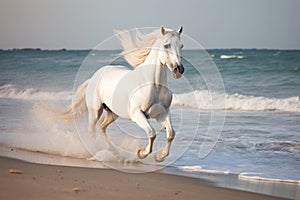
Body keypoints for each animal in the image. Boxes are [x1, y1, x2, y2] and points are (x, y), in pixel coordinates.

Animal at [61, 25, 184, 162]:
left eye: (181, 46)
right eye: (166, 45)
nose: (179, 69)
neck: (154, 85)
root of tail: (93, 77)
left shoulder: (162, 114)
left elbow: (171, 134)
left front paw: (159, 156)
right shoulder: (137, 114)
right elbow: (151, 133)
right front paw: (141, 153)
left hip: (112, 113)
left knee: (102, 127)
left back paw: (114, 153)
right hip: (95, 111)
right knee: (92, 130)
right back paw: (97, 152)